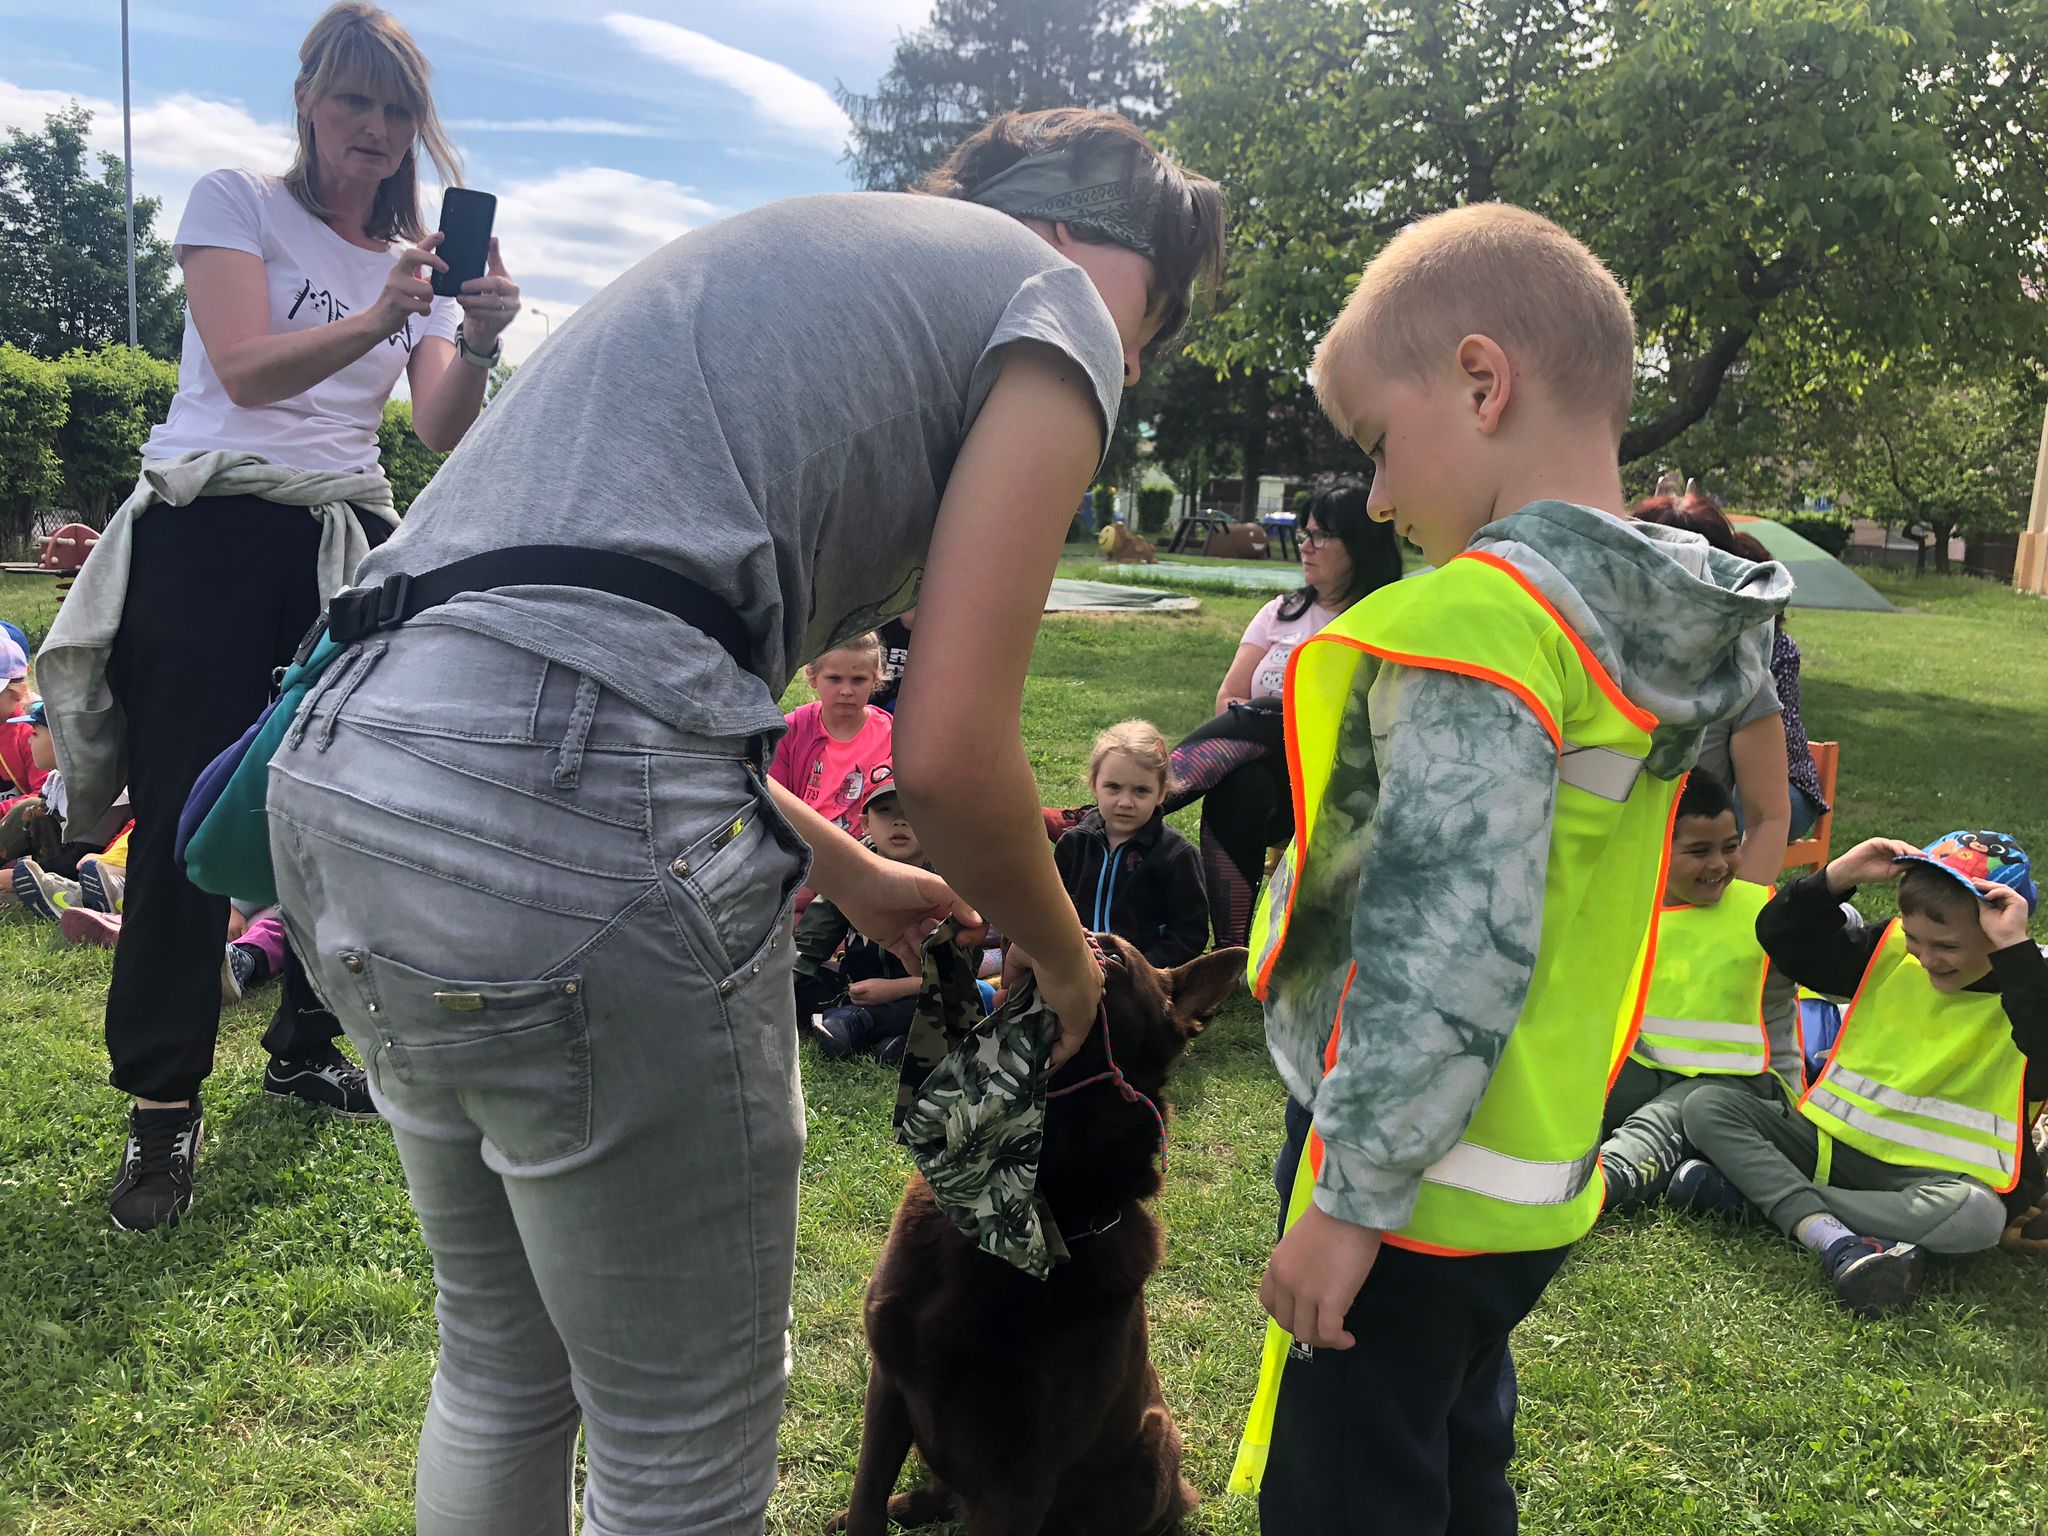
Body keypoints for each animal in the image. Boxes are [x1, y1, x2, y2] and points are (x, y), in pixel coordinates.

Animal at [827, 937, 1245, 1536]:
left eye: (1114, 960)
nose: (1071, 937)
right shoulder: (890, 1383)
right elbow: (866, 1496)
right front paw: (864, 1513)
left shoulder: (1022, 1477)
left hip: (1154, 1446)